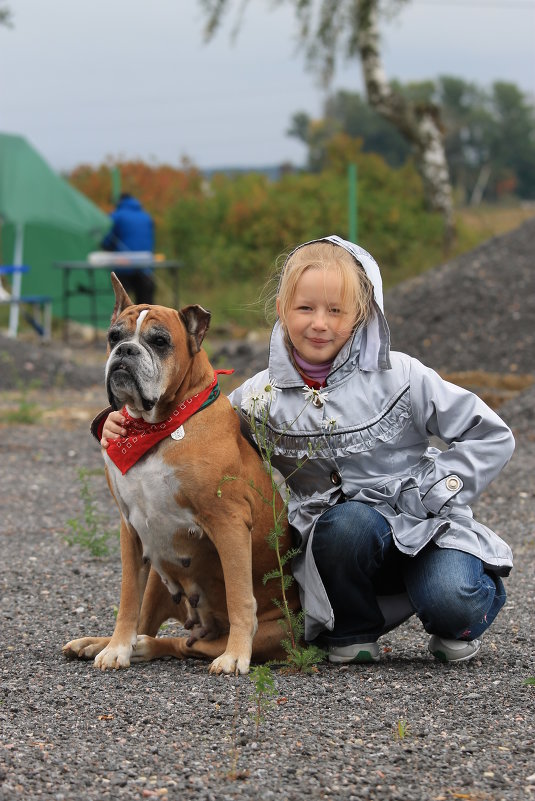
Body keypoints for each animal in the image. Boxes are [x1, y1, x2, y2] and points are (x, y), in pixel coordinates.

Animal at [62, 276, 302, 676]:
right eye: (113, 336)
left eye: (159, 341)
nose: (125, 351)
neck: (158, 427)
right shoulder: (131, 530)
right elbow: (128, 599)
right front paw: (116, 648)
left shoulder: (229, 523)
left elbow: (240, 597)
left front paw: (236, 655)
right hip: (158, 574)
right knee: (150, 624)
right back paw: (106, 643)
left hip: (271, 632)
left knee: (190, 644)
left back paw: (163, 647)